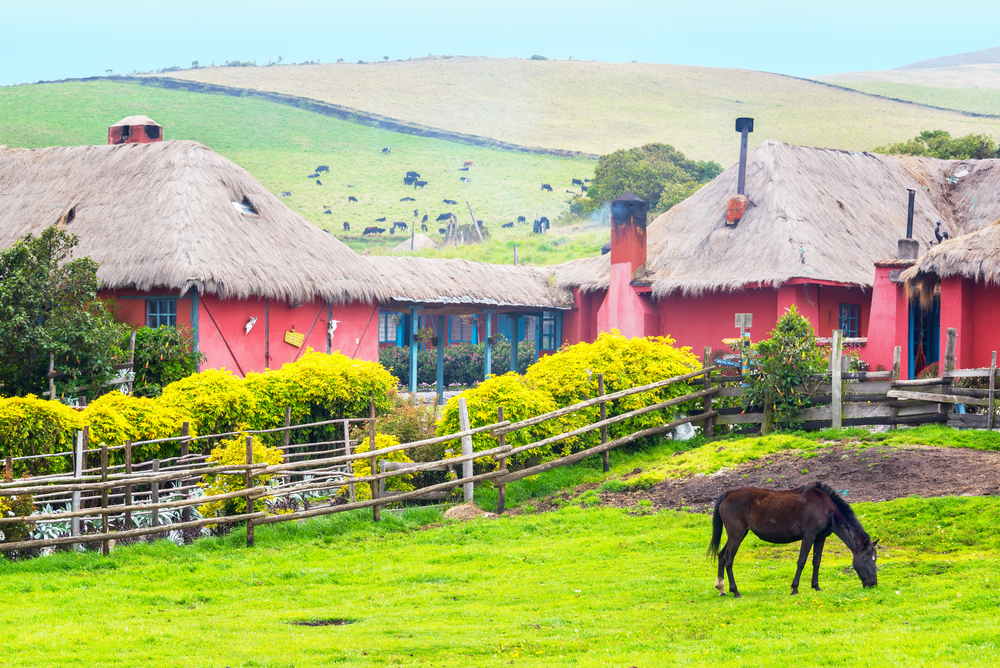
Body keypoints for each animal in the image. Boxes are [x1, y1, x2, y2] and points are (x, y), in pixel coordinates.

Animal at [708, 482, 880, 596]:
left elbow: (816, 562)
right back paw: (735, 591)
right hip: (736, 535)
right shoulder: (808, 536)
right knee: (729, 561)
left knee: (722, 556)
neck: (826, 508)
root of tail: (727, 494)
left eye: (875, 559)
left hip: (736, 535)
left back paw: (721, 589)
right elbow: (802, 561)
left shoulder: (820, 538)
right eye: (867, 559)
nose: (873, 584)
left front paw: (816, 586)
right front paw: (795, 588)